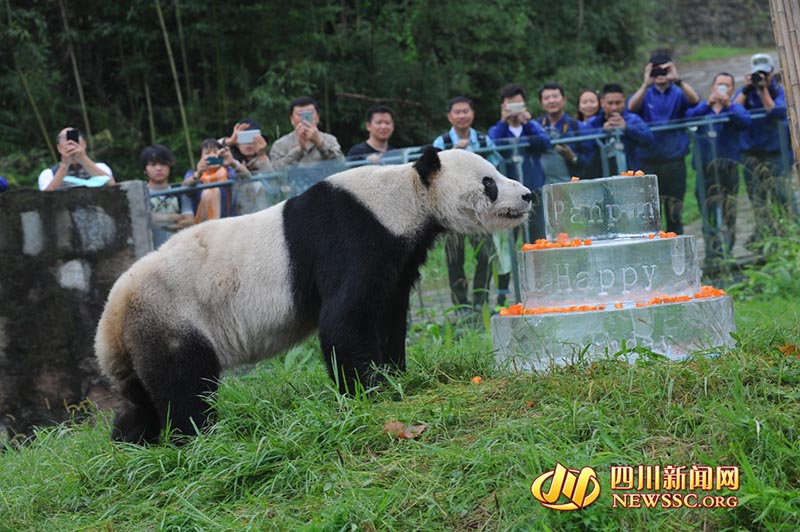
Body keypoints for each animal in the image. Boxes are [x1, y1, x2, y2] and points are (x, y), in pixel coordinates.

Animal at [94, 145, 532, 440]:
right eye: (489, 182)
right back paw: (199, 435)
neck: (406, 196)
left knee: (138, 399)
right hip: (172, 315)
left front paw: (394, 373)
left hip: (139, 337)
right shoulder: (352, 235)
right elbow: (344, 318)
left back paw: (134, 443)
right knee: (184, 383)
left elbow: (389, 312)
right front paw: (367, 389)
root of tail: (110, 318)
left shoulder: (398, 256)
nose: (527, 195)